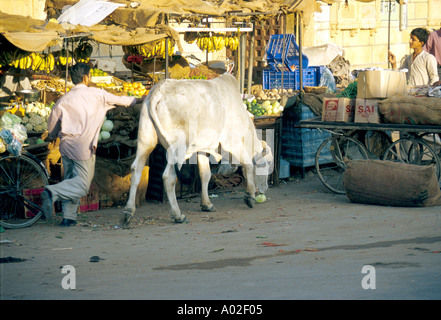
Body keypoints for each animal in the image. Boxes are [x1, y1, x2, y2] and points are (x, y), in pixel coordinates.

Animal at [120, 73, 272, 225]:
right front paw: (250, 196)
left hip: (146, 140)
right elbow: (248, 164)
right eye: (267, 163)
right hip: (179, 148)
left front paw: (207, 204)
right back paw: (178, 215)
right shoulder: (232, 142)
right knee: (168, 177)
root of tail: (158, 91)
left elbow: (205, 174)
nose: (265, 189)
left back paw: (128, 212)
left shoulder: (203, 149)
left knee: (136, 169)